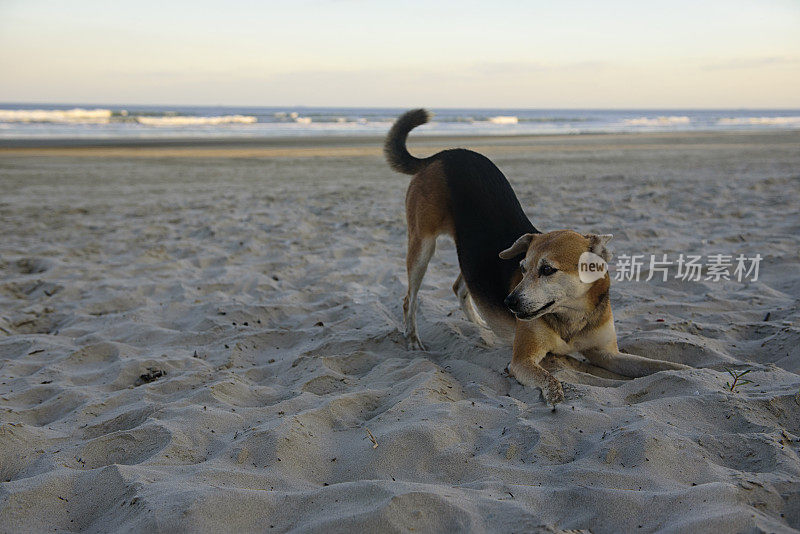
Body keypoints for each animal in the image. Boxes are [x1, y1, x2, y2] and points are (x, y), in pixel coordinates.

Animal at [384, 109, 692, 410]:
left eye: (547, 270)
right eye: (522, 269)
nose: (509, 303)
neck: (572, 315)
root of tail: (444, 154)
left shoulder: (608, 354)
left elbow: (651, 364)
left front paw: (685, 370)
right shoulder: (522, 361)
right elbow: (549, 378)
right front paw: (555, 395)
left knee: (461, 286)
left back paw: (481, 327)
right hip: (423, 244)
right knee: (410, 298)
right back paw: (414, 340)